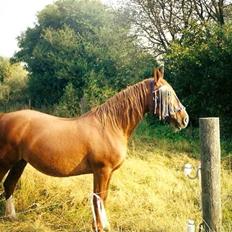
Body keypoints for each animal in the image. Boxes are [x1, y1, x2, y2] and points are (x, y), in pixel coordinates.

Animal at [0, 67, 188, 230]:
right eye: (168, 93)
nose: (184, 119)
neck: (111, 126)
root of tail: (4, 117)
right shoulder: (102, 171)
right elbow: (98, 197)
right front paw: (98, 226)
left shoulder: (108, 172)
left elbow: (103, 197)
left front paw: (102, 225)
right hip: (6, 161)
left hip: (20, 162)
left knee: (9, 184)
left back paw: (12, 217)